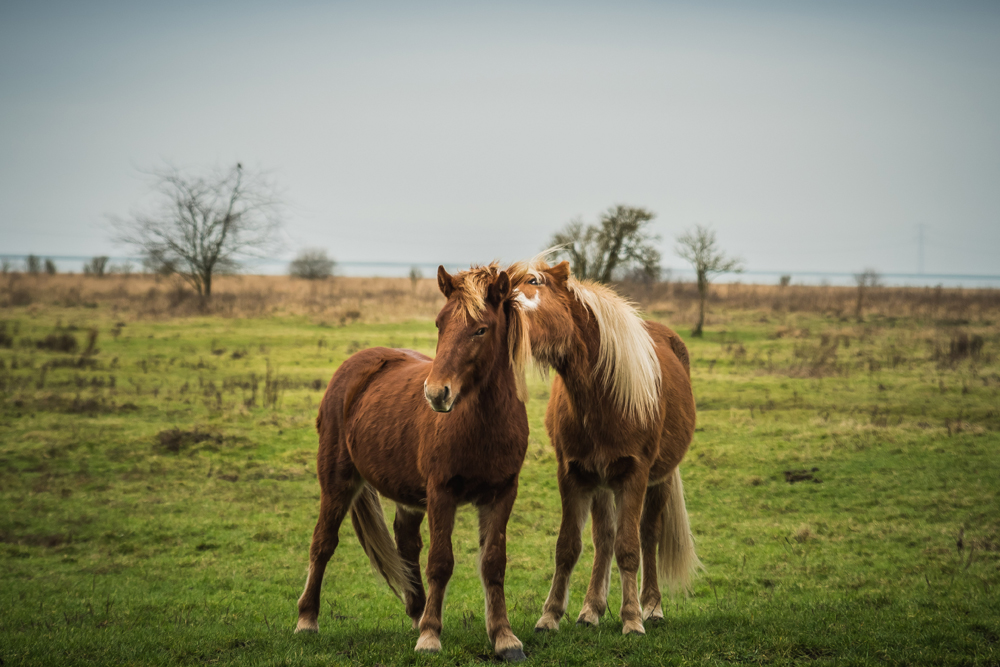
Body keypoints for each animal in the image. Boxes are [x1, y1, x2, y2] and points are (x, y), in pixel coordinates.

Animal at [292, 264, 532, 660]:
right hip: (338, 480)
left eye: (481, 329)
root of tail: (353, 366)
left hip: (409, 494)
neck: (481, 424)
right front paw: (430, 637)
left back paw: (418, 612)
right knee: (323, 542)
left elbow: (493, 563)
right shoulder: (441, 493)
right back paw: (307, 620)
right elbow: (441, 562)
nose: (436, 393)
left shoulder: (502, 493)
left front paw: (504, 638)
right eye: (439, 323)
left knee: (405, 543)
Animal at [516, 258, 704, 636]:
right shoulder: (572, 474)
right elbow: (568, 547)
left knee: (647, 534)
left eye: (533, 282)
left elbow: (630, 548)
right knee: (604, 538)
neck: (602, 395)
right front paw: (551, 615)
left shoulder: (635, 474)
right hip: (600, 482)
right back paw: (591, 609)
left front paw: (632, 618)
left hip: (658, 479)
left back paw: (652, 607)